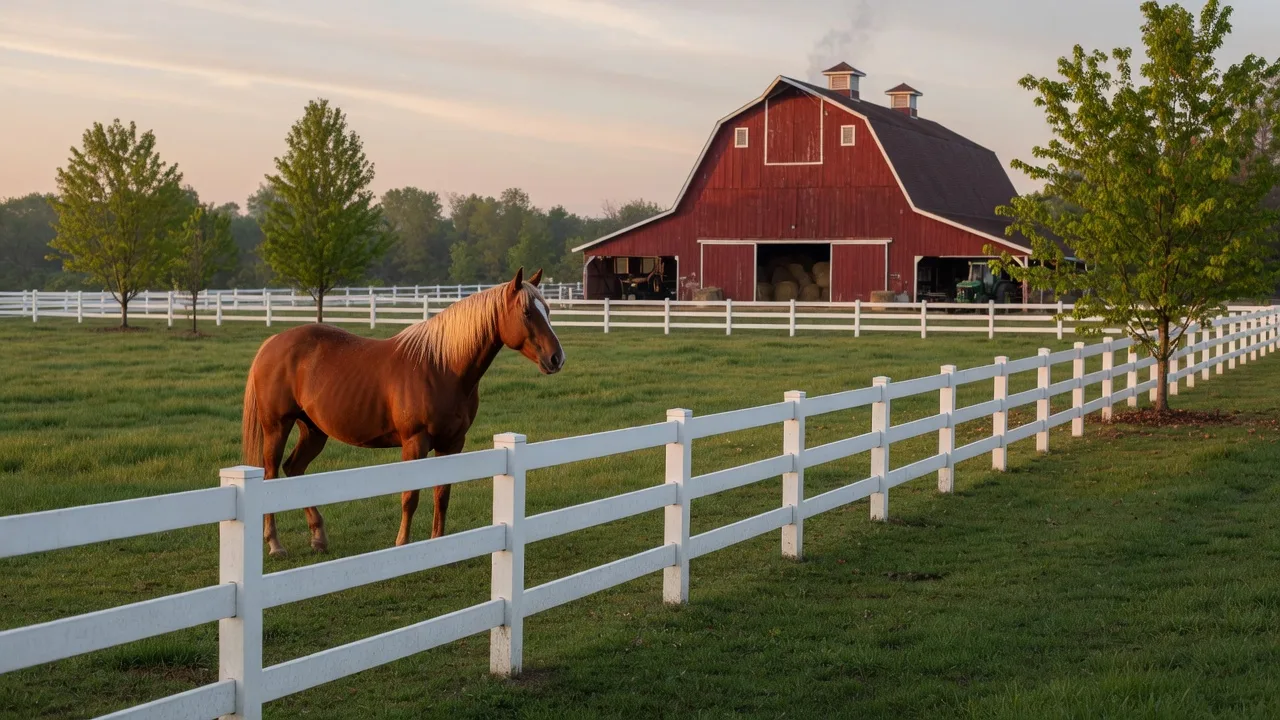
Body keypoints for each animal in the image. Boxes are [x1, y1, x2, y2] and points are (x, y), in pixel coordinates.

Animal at [241, 267, 565, 557]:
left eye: (548, 309)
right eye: (527, 312)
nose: (556, 358)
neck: (442, 366)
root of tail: (271, 344)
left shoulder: (452, 443)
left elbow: (442, 494)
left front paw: (440, 545)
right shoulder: (414, 442)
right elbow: (411, 496)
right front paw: (402, 545)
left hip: (313, 430)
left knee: (294, 470)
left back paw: (318, 538)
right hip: (277, 427)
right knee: (271, 475)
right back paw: (275, 545)